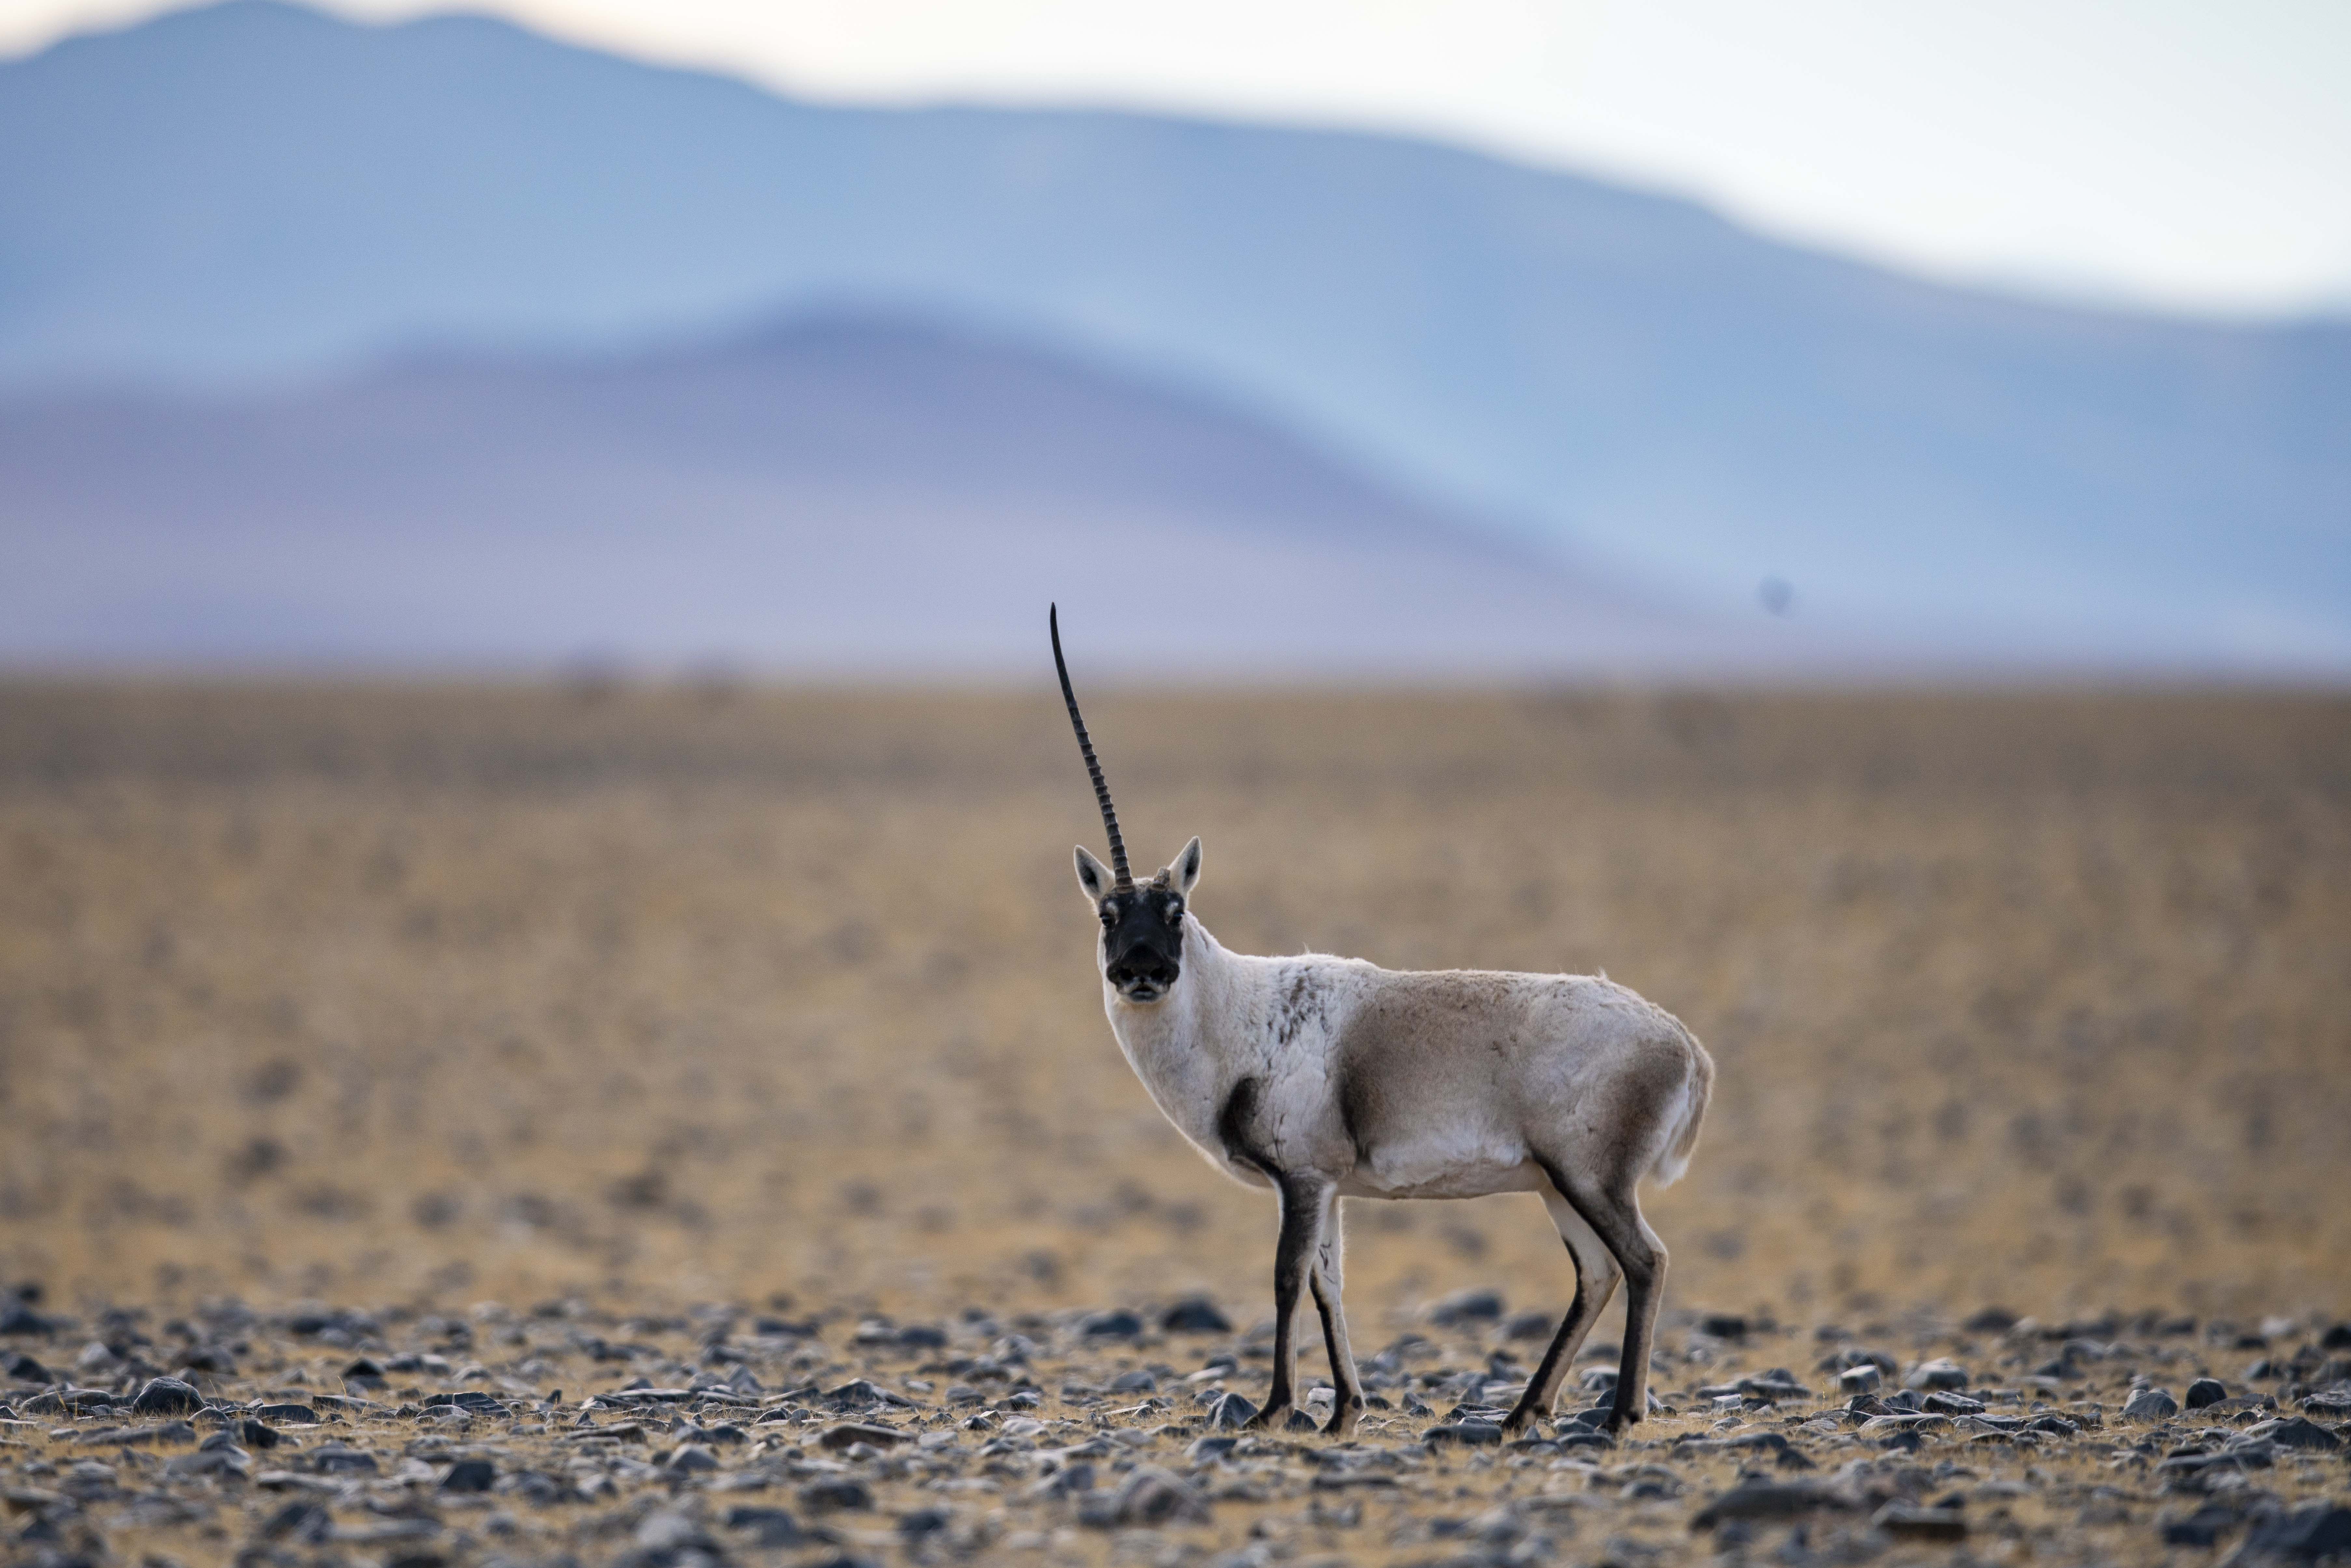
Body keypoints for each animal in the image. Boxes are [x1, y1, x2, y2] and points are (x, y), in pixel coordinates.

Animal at [1048, 607, 1711, 1438]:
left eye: (1175, 910)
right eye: (1109, 913)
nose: (1142, 971)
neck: (1239, 1012)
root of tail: (1683, 1043)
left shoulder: (1301, 1178)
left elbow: (1286, 1278)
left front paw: (1274, 1408)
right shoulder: (1329, 1185)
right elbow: (1328, 1283)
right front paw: (1344, 1413)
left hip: (1591, 1179)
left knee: (1645, 1261)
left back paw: (1618, 1415)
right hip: (1559, 1186)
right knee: (1597, 1272)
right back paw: (1521, 1414)